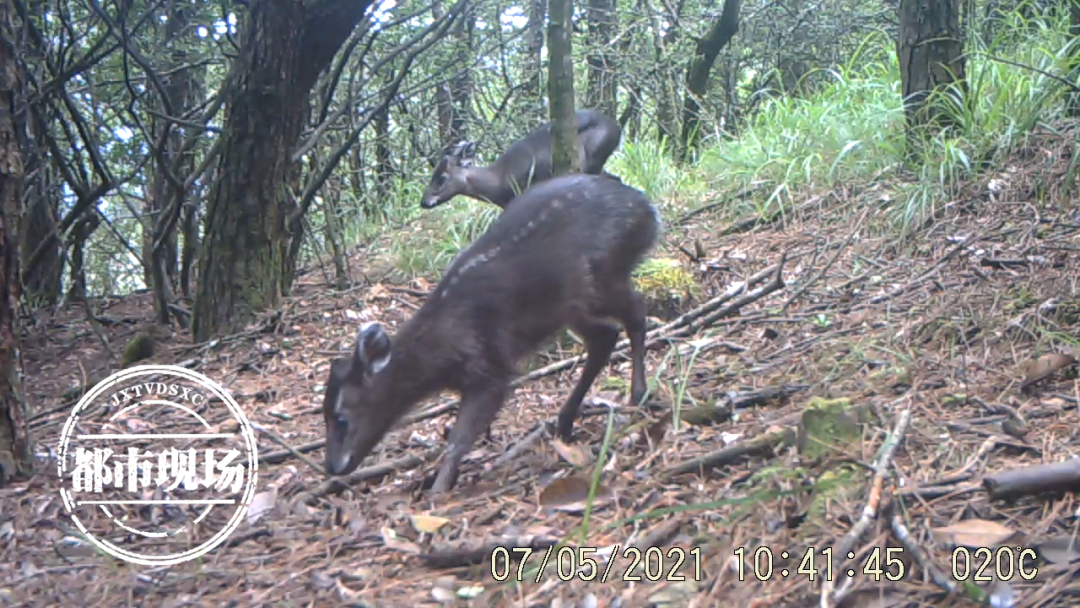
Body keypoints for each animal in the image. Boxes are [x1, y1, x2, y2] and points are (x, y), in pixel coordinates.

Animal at [319, 172, 656, 494]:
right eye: (323, 415)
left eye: (342, 419)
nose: (332, 467)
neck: (440, 355)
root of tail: (648, 210)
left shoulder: (488, 365)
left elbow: (460, 437)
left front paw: (438, 488)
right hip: (570, 305)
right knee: (604, 337)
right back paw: (565, 421)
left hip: (599, 275)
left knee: (636, 314)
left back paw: (638, 393)